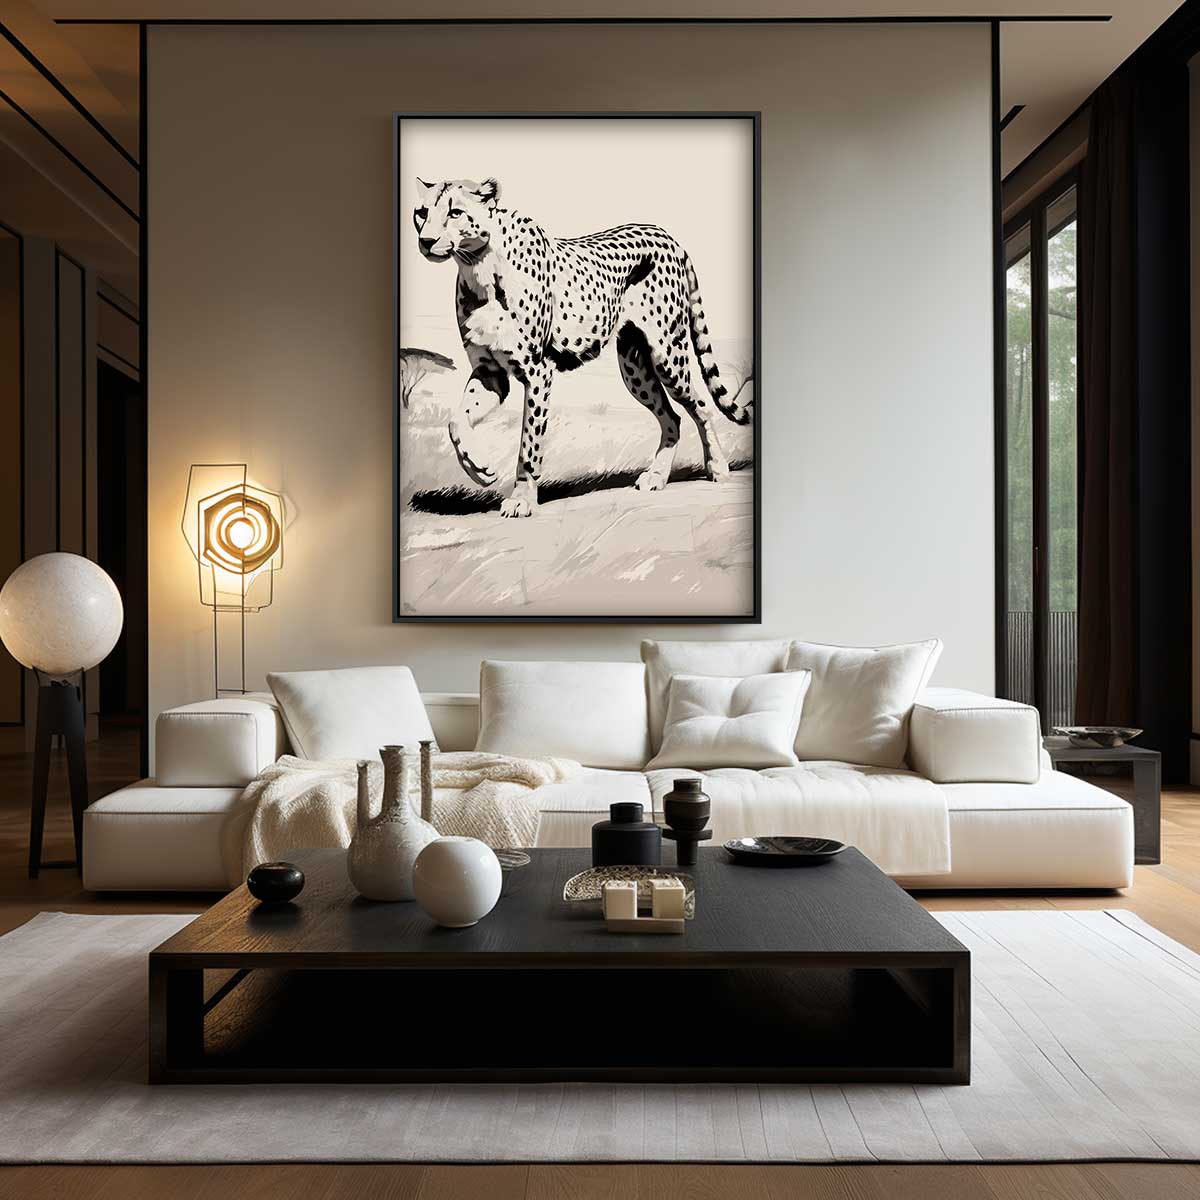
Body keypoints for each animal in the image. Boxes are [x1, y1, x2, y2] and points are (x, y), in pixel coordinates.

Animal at [413, 176, 753, 518]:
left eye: (455, 212)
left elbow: (529, 443)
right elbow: (456, 422)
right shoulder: (490, 372)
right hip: (634, 368)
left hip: (668, 354)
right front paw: (480, 470)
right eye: (421, 212)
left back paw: (717, 468)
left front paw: (522, 498)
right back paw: (656, 476)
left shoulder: (538, 371)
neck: (479, 267)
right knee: (672, 417)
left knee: (701, 406)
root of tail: (664, 234)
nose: (426, 241)